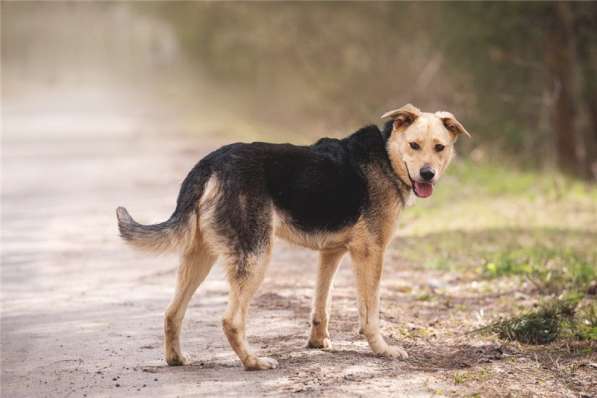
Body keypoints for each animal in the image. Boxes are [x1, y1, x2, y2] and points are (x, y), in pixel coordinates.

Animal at [116, 103, 468, 370]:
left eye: (439, 148)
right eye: (414, 146)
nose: (427, 175)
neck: (387, 155)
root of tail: (210, 163)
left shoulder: (332, 252)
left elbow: (321, 304)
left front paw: (318, 342)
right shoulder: (370, 252)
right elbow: (370, 313)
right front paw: (382, 349)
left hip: (200, 256)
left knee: (172, 312)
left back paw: (176, 358)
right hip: (255, 256)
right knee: (231, 320)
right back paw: (254, 362)